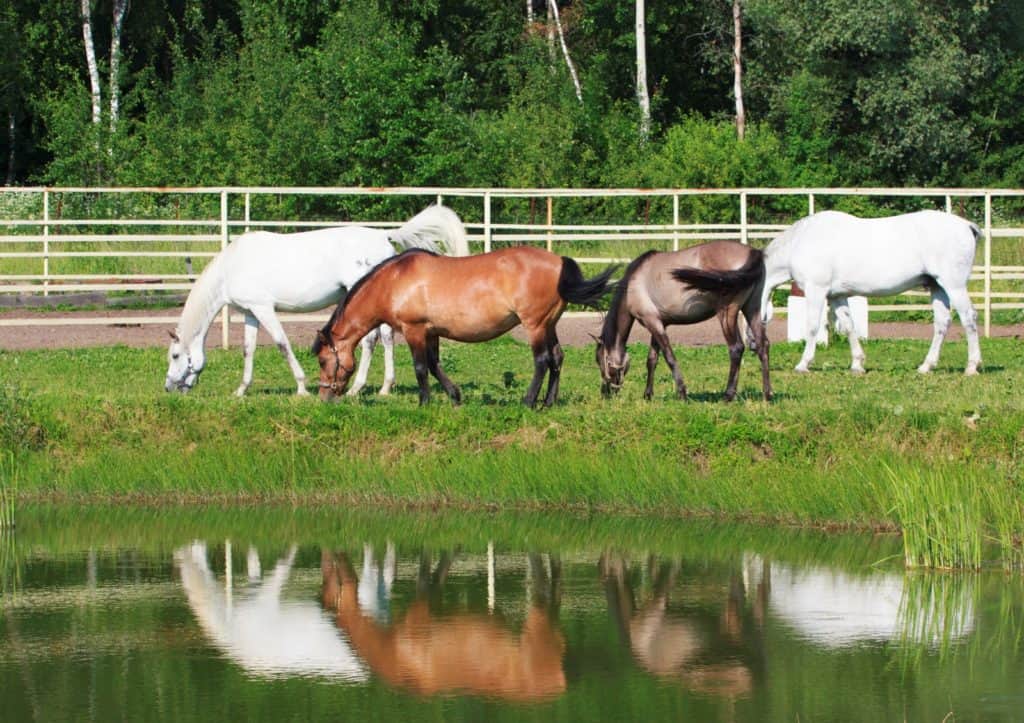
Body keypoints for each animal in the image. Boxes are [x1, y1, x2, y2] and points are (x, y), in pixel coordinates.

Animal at [164, 204, 469, 396]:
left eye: (175, 355)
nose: (169, 388)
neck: (232, 266)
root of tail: (383, 235)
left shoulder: (264, 308)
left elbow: (282, 344)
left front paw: (301, 388)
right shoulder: (250, 312)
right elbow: (248, 350)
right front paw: (241, 390)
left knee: (370, 341)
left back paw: (357, 388)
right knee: (385, 338)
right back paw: (384, 388)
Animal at [313, 247, 617, 407]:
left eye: (323, 360)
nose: (323, 395)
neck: (394, 281)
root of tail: (559, 262)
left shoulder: (414, 330)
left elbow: (420, 368)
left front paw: (424, 402)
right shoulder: (431, 332)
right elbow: (434, 365)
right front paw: (455, 396)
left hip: (536, 325)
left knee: (542, 360)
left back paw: (529, 401)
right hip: (549, 324)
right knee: (557, 358)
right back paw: (548, 402)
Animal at [595, 241, 771, 401]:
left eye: (599, 361)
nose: (605, 393)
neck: (632, 284)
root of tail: (753, 253)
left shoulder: (652, 323)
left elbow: (669, 358)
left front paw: (682, 393)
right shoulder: (658, 324)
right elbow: (652, 360)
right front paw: (648, 395)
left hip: (727, 314)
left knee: (736, 348)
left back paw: (728, 396)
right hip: (752, 309)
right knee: (763, 345)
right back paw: (767, 395)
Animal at [760, 210, 981, 375]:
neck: (800, 242)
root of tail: (966, 226)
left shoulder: (816, 290)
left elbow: (813, 327)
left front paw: (803, 364)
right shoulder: (837, 296)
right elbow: (849, 326)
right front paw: (857, 364)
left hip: (954, 285)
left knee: (968, 318)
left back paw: (972, 367)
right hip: (937, 287)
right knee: (942, 323)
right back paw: (926, 366)